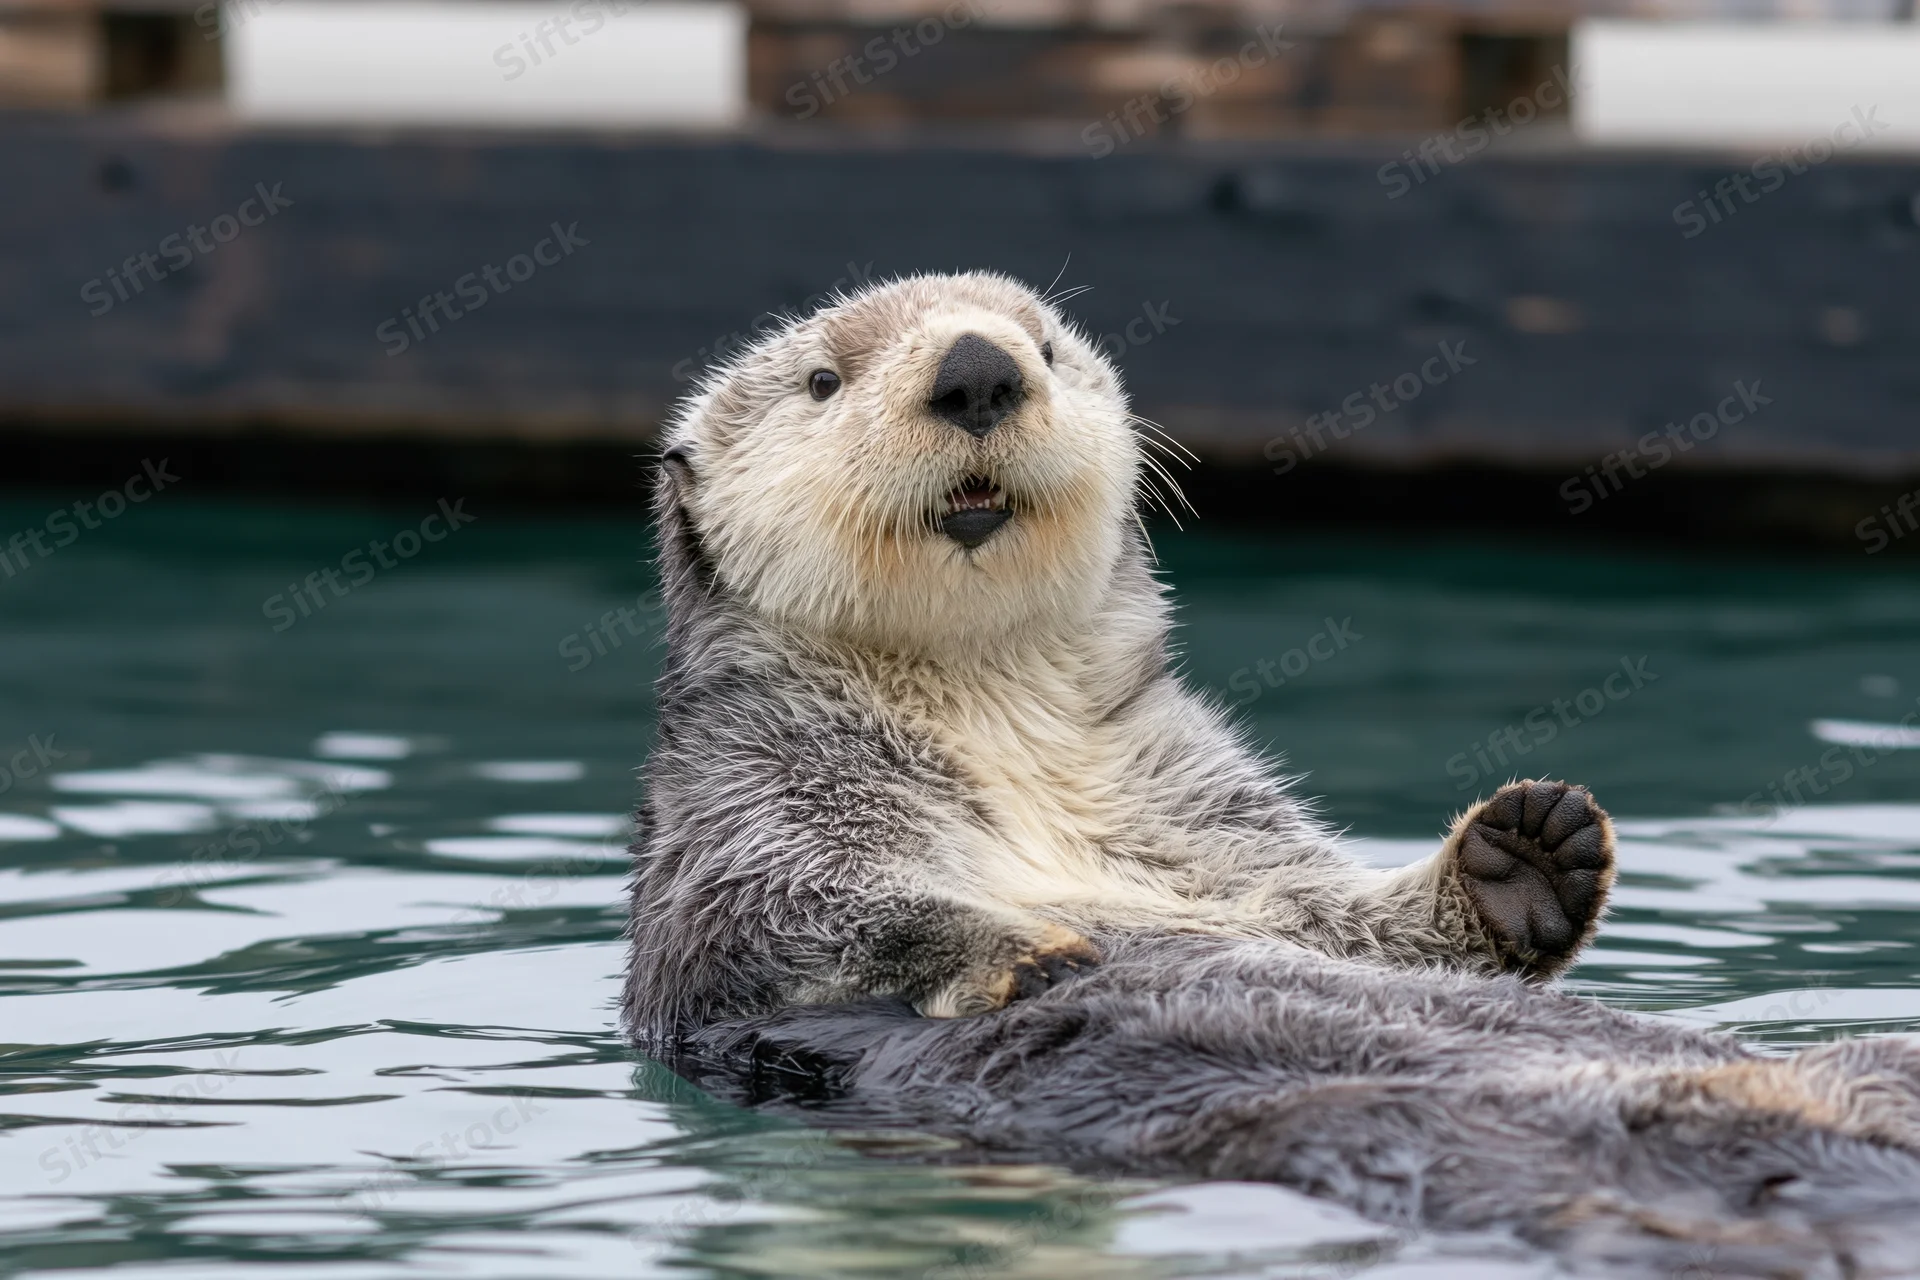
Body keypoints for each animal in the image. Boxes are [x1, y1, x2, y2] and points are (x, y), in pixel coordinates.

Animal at [626, 272, 1920, 1266]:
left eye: (1044, 341)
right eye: (822, 380)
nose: (979, 367)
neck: (997, 725)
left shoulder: (1204, 811)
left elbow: (1344, 917)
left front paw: (1527, 853)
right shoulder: (747, 817)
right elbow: (795, 915)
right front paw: (1017, 947)